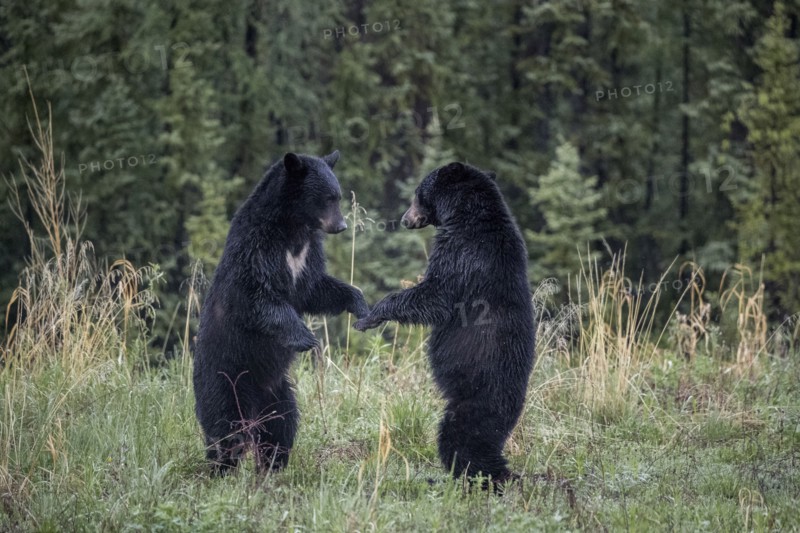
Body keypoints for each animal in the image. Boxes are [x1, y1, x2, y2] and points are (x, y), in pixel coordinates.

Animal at [193, 150, 369, 474]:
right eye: (327, 198)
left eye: (338, 196)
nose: (340, 226)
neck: (292, 227)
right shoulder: (257, 249)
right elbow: (257, 298)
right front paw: (306, 338)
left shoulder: (307, 253)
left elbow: (315, 288)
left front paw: (361, 306)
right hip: (224, 377)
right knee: (226, 427)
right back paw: (222, 468)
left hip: (278, 391)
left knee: (280, 426)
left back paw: (273, 464)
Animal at [354, 162, 535, 488]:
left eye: (416, 194)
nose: (405, 218)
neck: (465, 214)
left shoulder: (465, 254)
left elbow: (436, 294)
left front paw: (369, 316)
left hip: (475, 401)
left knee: (459, 440)